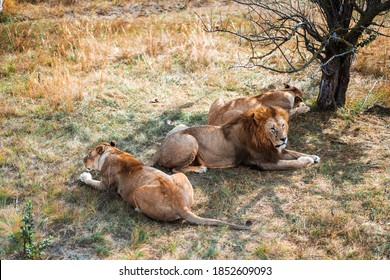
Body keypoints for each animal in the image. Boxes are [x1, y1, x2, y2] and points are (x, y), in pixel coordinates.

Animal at [79, 142, 250, 230]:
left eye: (88, 154)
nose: (82, 160)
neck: (113, 151)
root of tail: (181, 205)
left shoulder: (106, 185)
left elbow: (92, 181)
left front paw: (83, 176)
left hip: (138, 191)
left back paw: (137, 209)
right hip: (181, 177)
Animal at [149, 105, 320, 173]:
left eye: (283, 125)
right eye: (272, 128)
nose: (284, 139)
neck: (264, 140)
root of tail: (159, 149)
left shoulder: (274, 151)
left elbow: (295, 152)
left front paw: (313, 156)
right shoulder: (262, 162)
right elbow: (291, 163)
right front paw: (307, 161)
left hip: (182, 125)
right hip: (191, 140)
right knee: (175, 169)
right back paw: (200, 168)